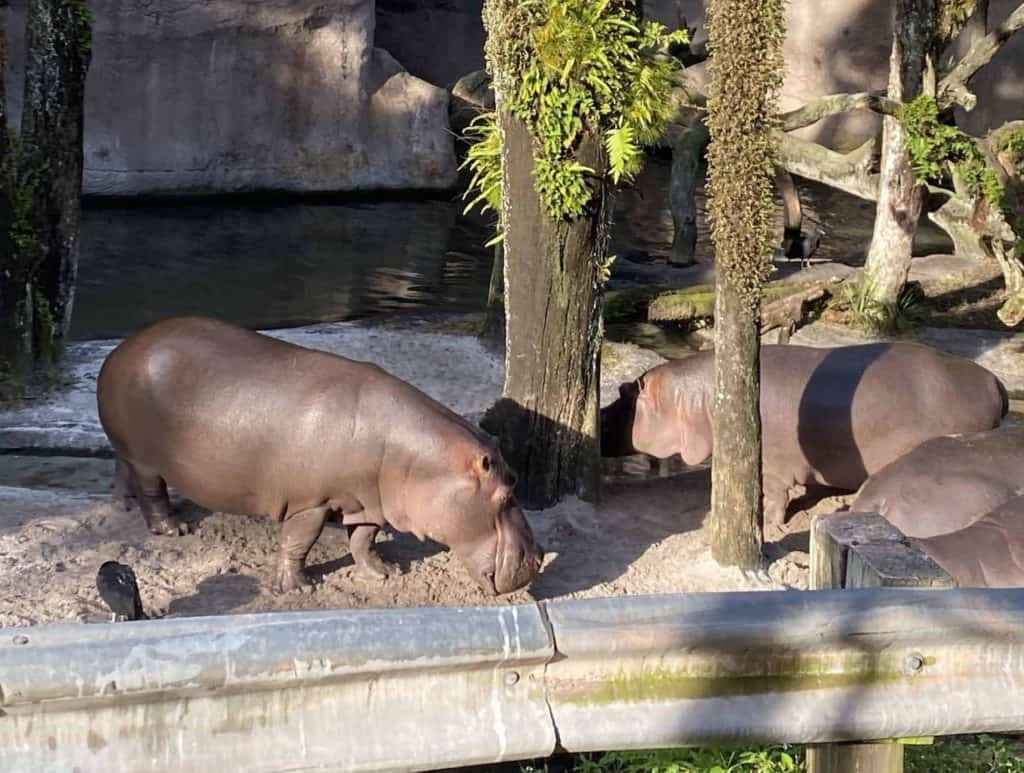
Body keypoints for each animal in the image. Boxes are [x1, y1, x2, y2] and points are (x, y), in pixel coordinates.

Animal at [97, 317, 543, 595]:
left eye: (516, 483)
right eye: (507, 496)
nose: (539, 558)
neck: (418, 462)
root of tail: (122, 348)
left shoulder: (368, 502)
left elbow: (364, 539)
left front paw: (384, 572)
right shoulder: (311, 502)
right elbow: (298, 542)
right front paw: (298, 588)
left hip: (127, 449)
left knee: (123, 470)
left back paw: (122, 505)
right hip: (147, 458)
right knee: (153, 491)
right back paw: (174, 529)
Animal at [601, 343, 1007, 535]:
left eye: (623, 395)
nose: (598, 416)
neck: (689, 400)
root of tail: (995, 382)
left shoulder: (773, 464)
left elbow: (775, 494)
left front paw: (769, 522)